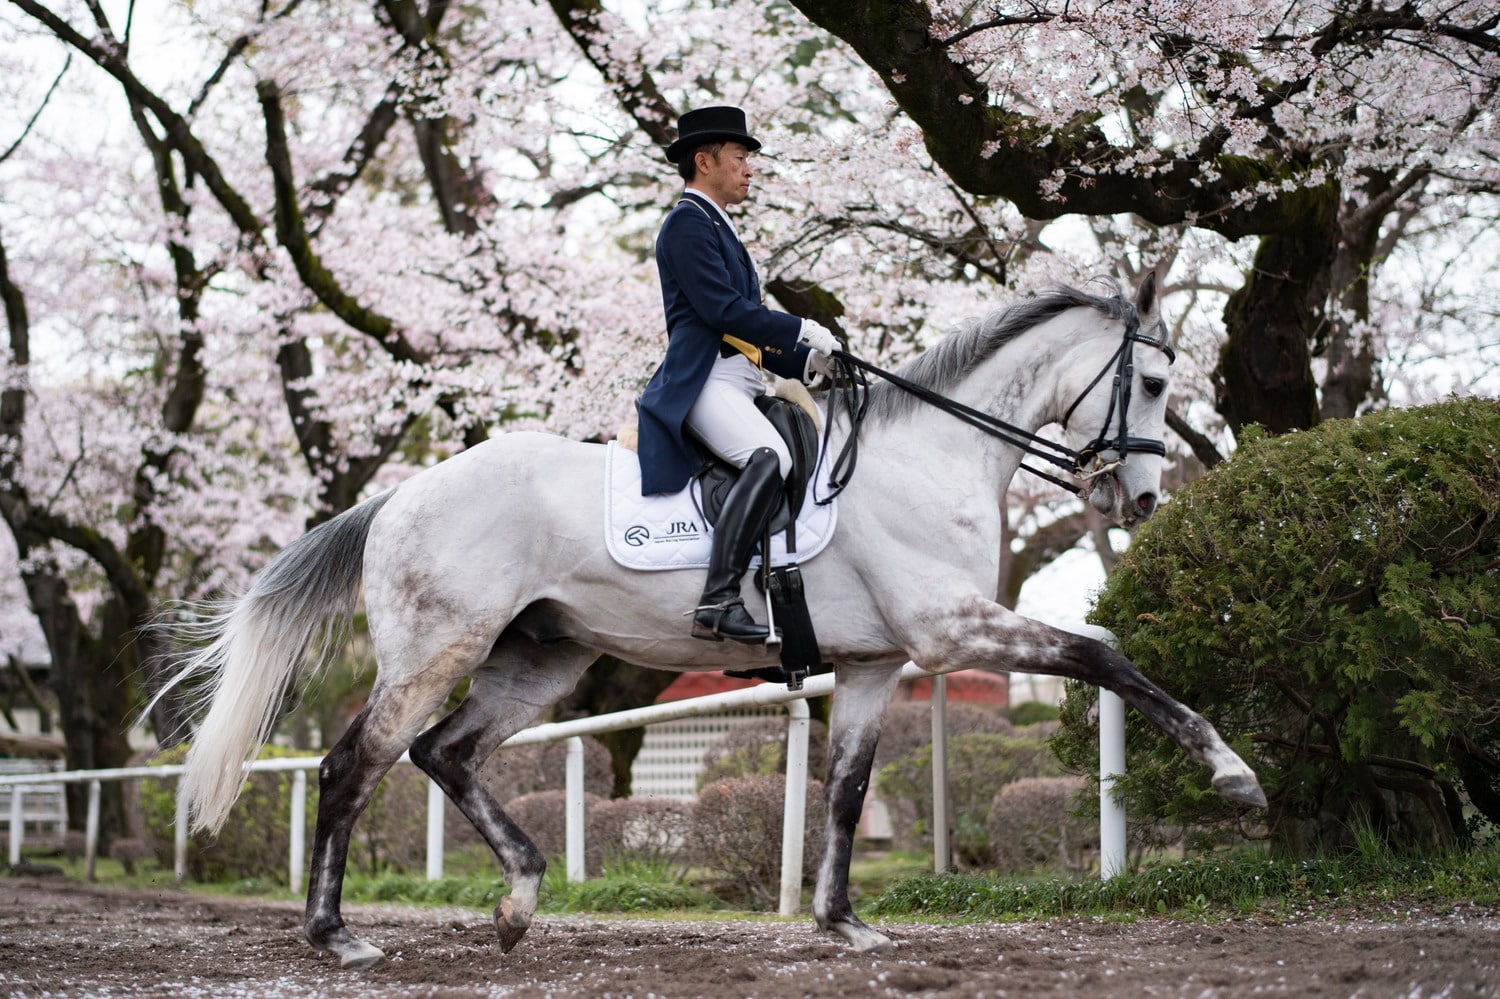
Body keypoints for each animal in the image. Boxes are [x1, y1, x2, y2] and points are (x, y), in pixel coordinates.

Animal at [155, 270, 1265, 969]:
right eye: (1154, 381)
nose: (1142, 503)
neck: (929, 458)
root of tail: (401, 495)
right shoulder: (953, 630)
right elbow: (1106, 655)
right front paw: (1232, 773)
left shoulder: (875, 664)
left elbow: (847, 792)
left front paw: (841, 923)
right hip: (437, 651)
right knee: (356, 765)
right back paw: (336, 934)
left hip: (538, 661)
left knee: (446, 755)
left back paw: (519, 899)